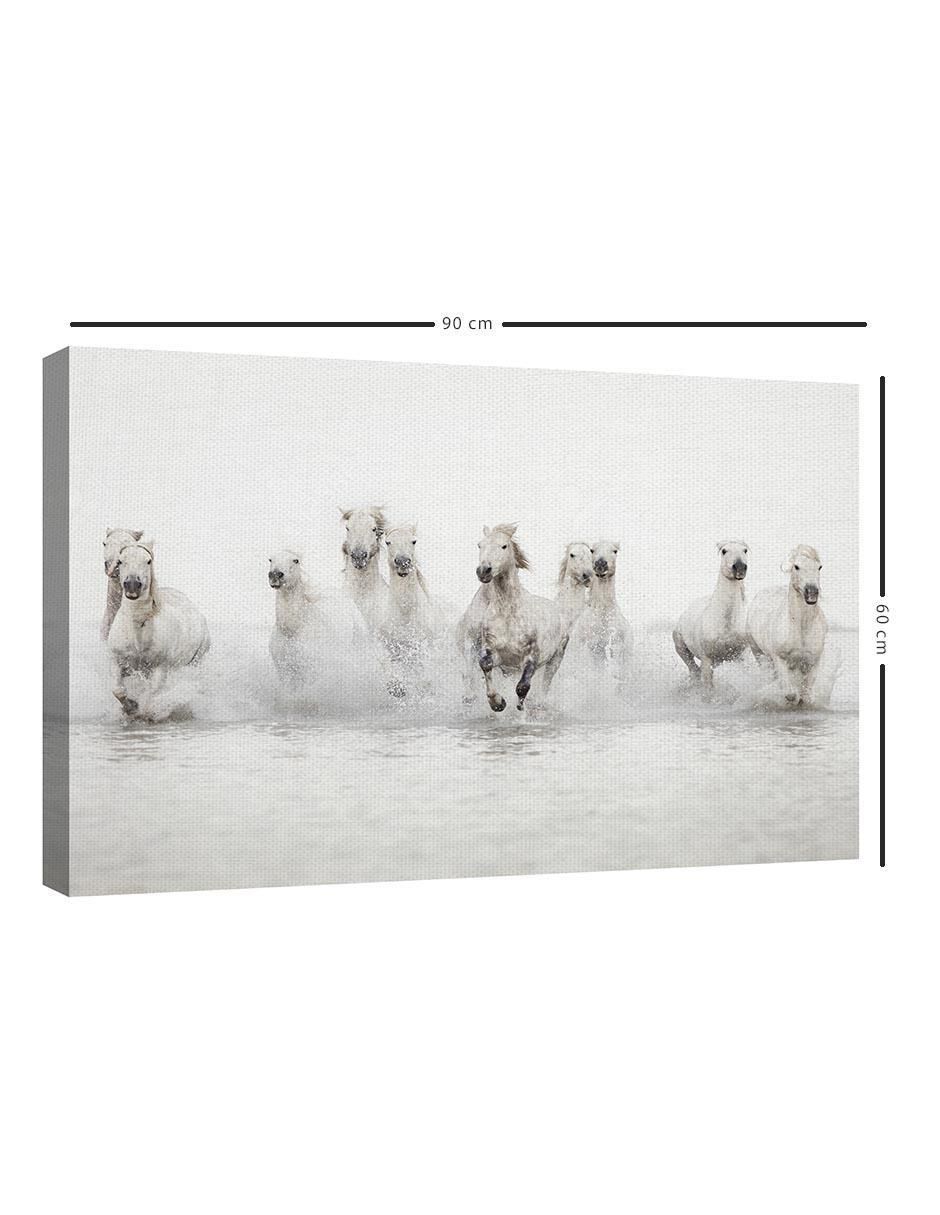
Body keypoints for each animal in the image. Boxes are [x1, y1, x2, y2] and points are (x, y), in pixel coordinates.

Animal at [108, 541, 210, 719]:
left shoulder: (160, 668)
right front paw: (130, 708)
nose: (132, 586)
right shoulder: (117, 661)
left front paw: (141, 711)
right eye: (120, 561)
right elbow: (118, 690)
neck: (138, 638)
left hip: (195, 662)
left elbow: (149, 696)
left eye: (148, 561)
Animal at [458, 524, 569, 713]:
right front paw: (497, 703)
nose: (483, 571)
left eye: (504, 546)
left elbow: (522, 686)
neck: (508, 613)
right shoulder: (494, 652)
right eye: (480, 545)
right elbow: (484, 665)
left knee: (545, 682)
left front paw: (520, 707)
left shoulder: (531, 657)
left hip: (556, 658)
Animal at [673, 541, 749, 691]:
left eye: (745, 550)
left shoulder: (741, 657)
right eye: (724, 551)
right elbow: (708, 689)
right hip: (681, 648)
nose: (739, 567)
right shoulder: (707, 659)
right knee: (694, 670)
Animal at [747, 545, 828, 706]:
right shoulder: (780, 659)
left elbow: (806, 695)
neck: (801, 627)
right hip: (758, 652)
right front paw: (791, 700)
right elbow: (790, 693)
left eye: (819, 567)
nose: (812, 592)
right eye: (796, 566)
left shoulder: (813, 662)